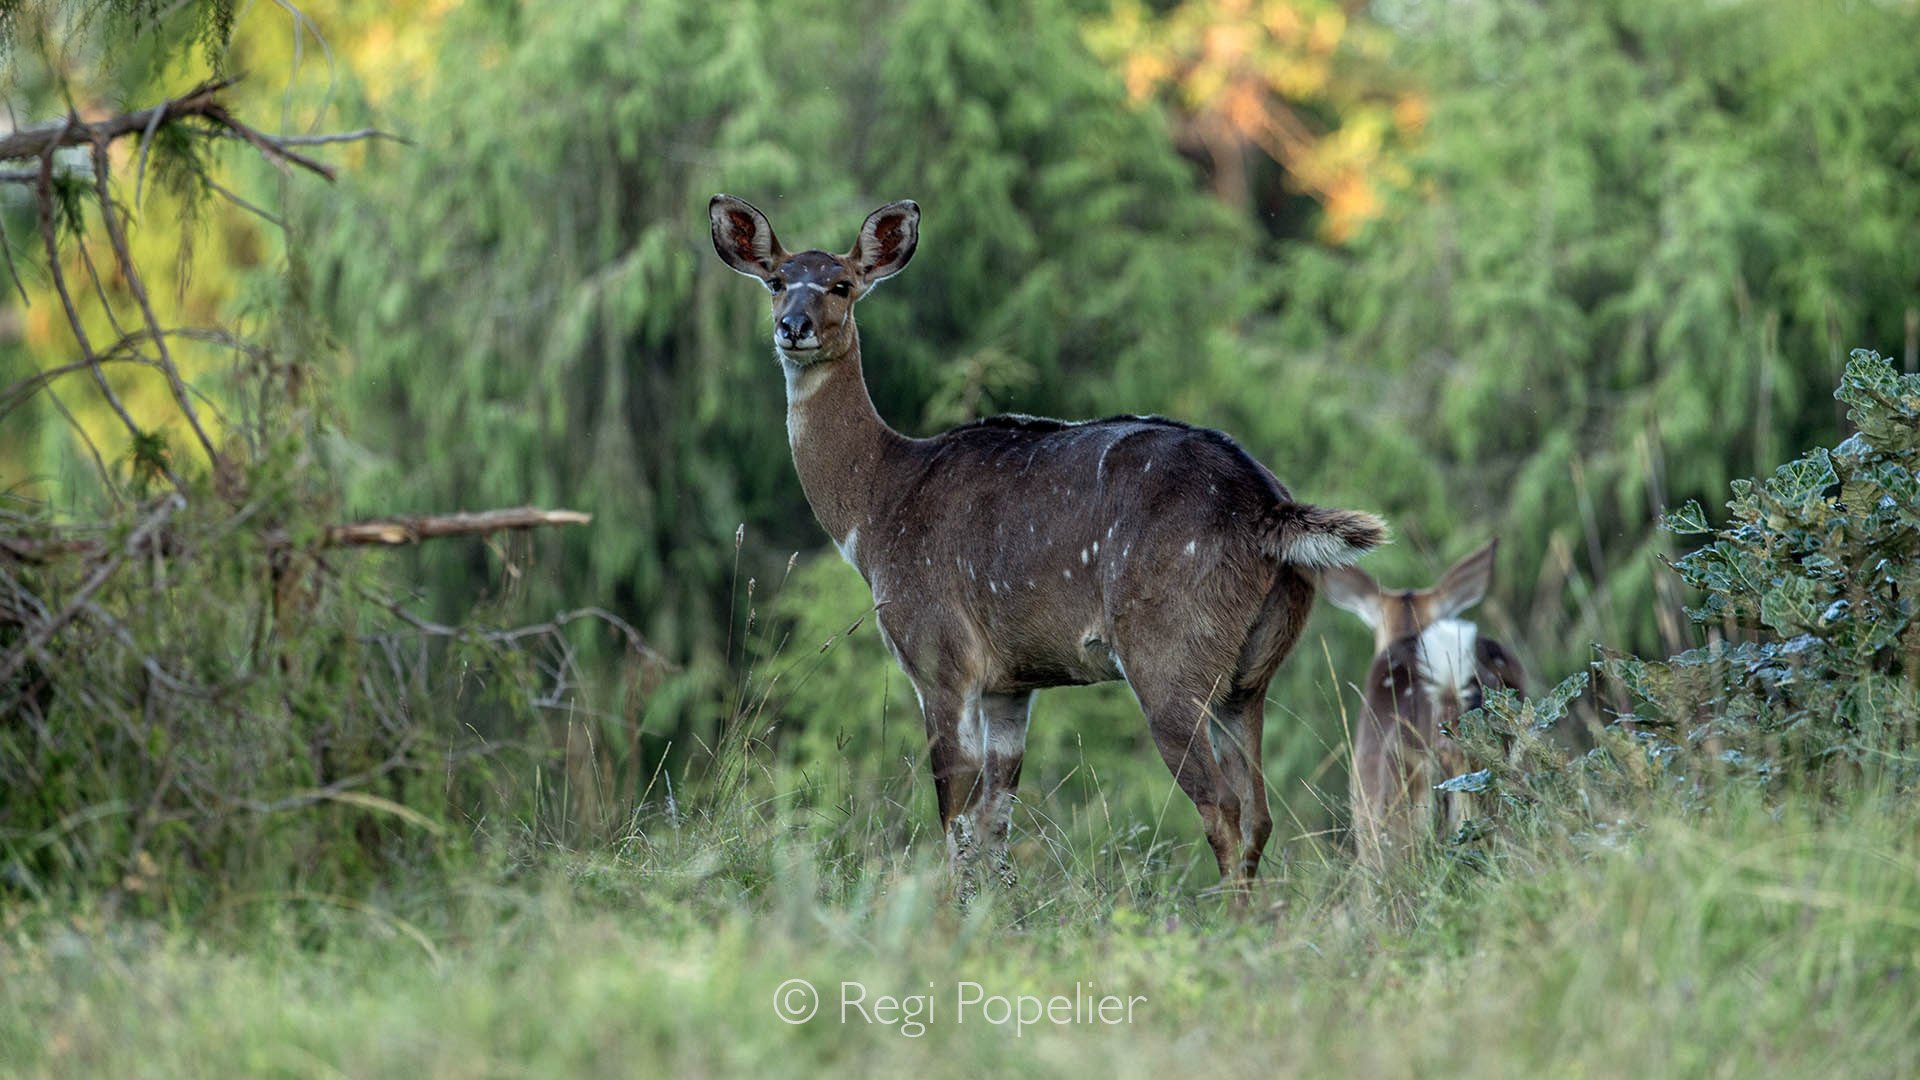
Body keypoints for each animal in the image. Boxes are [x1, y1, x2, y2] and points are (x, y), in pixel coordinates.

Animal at [709, 194, 1387, 895]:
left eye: (841, 283)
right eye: (777, 280)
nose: (793, 327)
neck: (878, 510)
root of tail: (1269, 507)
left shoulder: (939, 656)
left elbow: (953, 813)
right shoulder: (1010, 684)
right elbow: (995, 822)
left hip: (1170, 658)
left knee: (1222, 806)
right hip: (1250, 676)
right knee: (1258, 811)